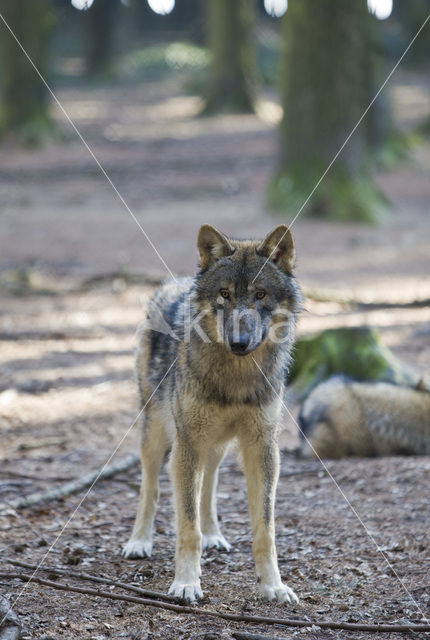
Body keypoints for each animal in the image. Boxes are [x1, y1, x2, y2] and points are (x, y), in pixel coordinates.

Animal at [121, 222, 302, 604]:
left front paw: (273, 586)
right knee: (150, 488)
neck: (236, 379)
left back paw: (214, 535)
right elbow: (187, 527)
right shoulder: (187, 444)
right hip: (157, 436)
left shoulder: (263, 448)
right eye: (224, 294)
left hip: (216, 445)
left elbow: (265, 530)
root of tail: (175, 281)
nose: (239, 342)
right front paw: (187, 583)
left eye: (260, 295)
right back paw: (139, 541)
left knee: (210, 482)